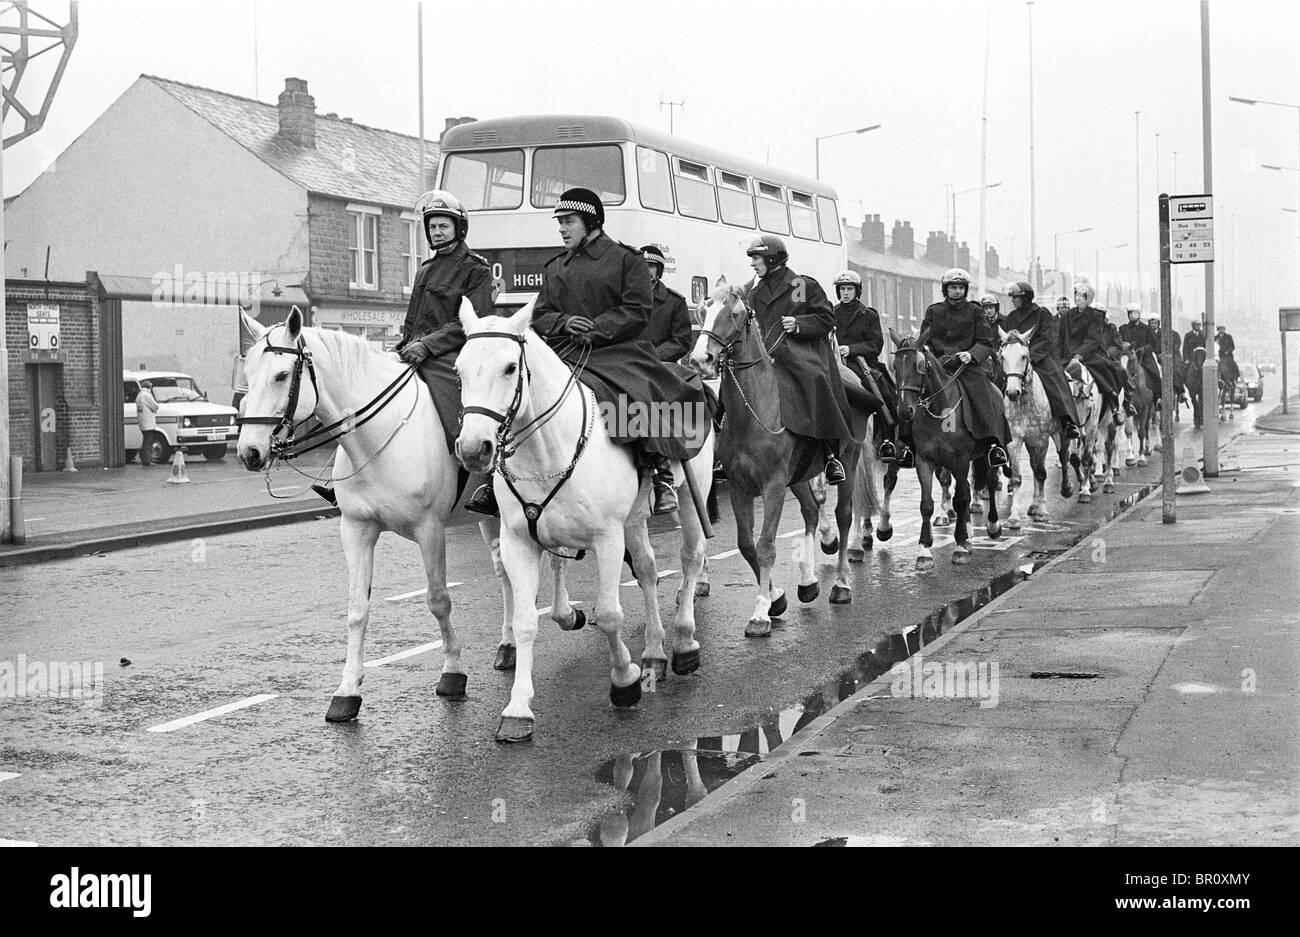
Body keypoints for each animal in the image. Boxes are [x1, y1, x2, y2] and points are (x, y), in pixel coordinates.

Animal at [237, 306, 506, 722]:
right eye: (247, 373)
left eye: (281, 375)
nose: (249, 452)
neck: (379, 436)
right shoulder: (357, 530)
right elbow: (357, 610)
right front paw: (347, 691)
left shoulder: (430, 531)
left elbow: (438, 600)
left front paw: (453, 672)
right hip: (490, 518)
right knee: (506, 575)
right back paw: (509, 649)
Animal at [454, 297, 722, 738]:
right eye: (459, 369)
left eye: (510, 367)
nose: (474, 449)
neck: (546, 450)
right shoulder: (518, 542)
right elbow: (527, 621)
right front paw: (517, 709)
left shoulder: (607, 538)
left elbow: (611, 615)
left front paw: (624, 681)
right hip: (634, 520)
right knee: (648, 570)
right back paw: (654, 651)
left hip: (690, 492)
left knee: (690, 558)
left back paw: (683, 643)